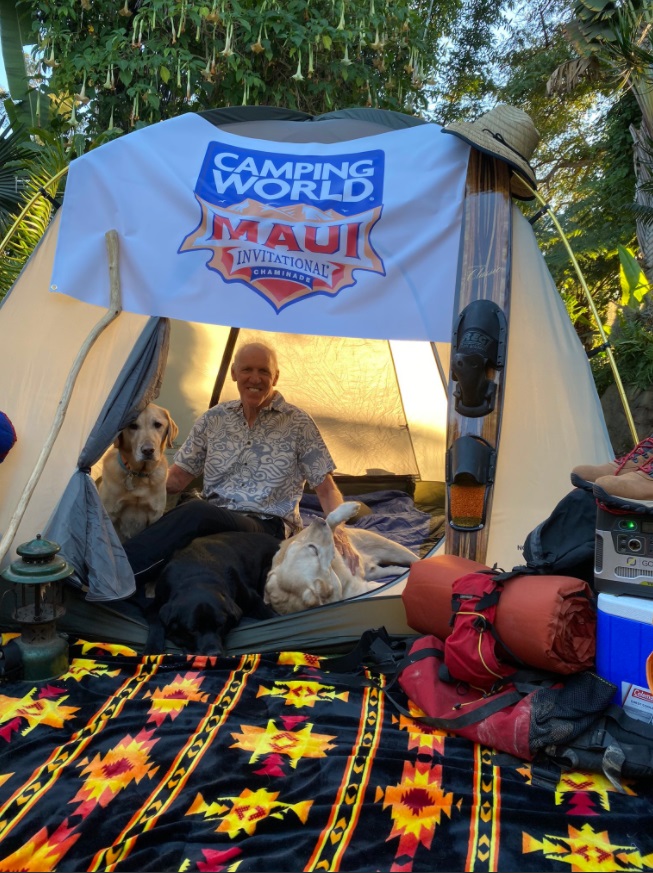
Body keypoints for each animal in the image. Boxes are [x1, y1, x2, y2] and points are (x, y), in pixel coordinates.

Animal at [98, 400, 178, 540]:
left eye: (157, 424)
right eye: (133, 426)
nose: (148, 450)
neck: (139, 474)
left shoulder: (155, 516)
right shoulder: (110, 513)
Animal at [144, 532, 278, 656]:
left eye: (220, 625)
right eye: (193, 630)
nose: (214, 654)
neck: (197, 575)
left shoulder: (251, 599)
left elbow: (269, 614)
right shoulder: (156, 603)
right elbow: (157, 622)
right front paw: (153, 647)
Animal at [262, 500, 416, 616]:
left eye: (298, 544)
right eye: (313, 549)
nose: (317, 520)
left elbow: (331, 521)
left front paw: (348, 508)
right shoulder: (363, 589)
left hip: (392, 548)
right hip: (375, 570)